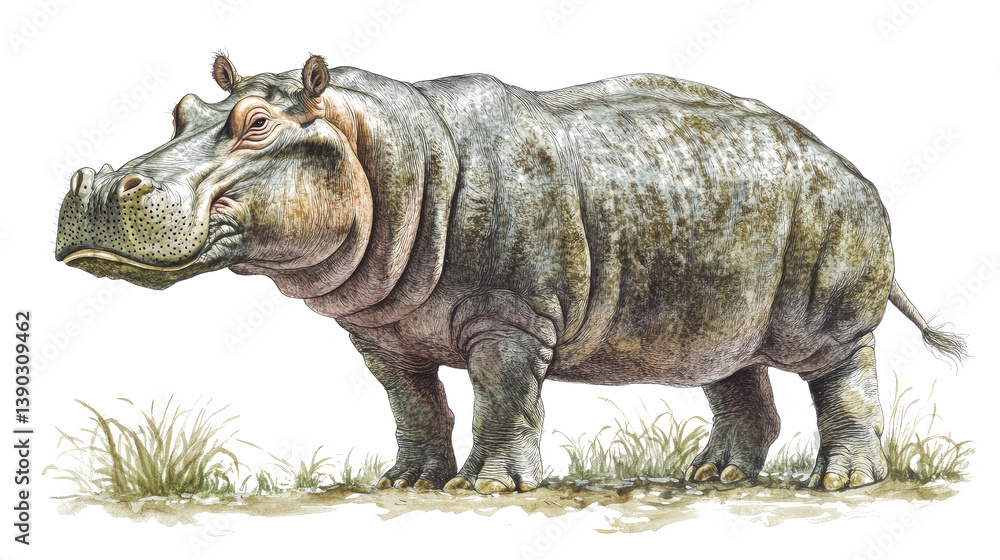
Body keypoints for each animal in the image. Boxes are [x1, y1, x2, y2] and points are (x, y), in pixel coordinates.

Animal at [55, 54, 967, 494]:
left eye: (254, 124)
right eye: (180, 111)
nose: (99, 185)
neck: (380, 145)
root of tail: (848, 165)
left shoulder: (511, 318)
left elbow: (502, 396)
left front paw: (490, 491)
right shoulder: (380, 330)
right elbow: (412, 403)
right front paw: (407, 483)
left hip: (831, 270)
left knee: (840, 368)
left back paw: (840, 483)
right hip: (711, 292)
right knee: (729, 369)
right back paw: (713, 477)